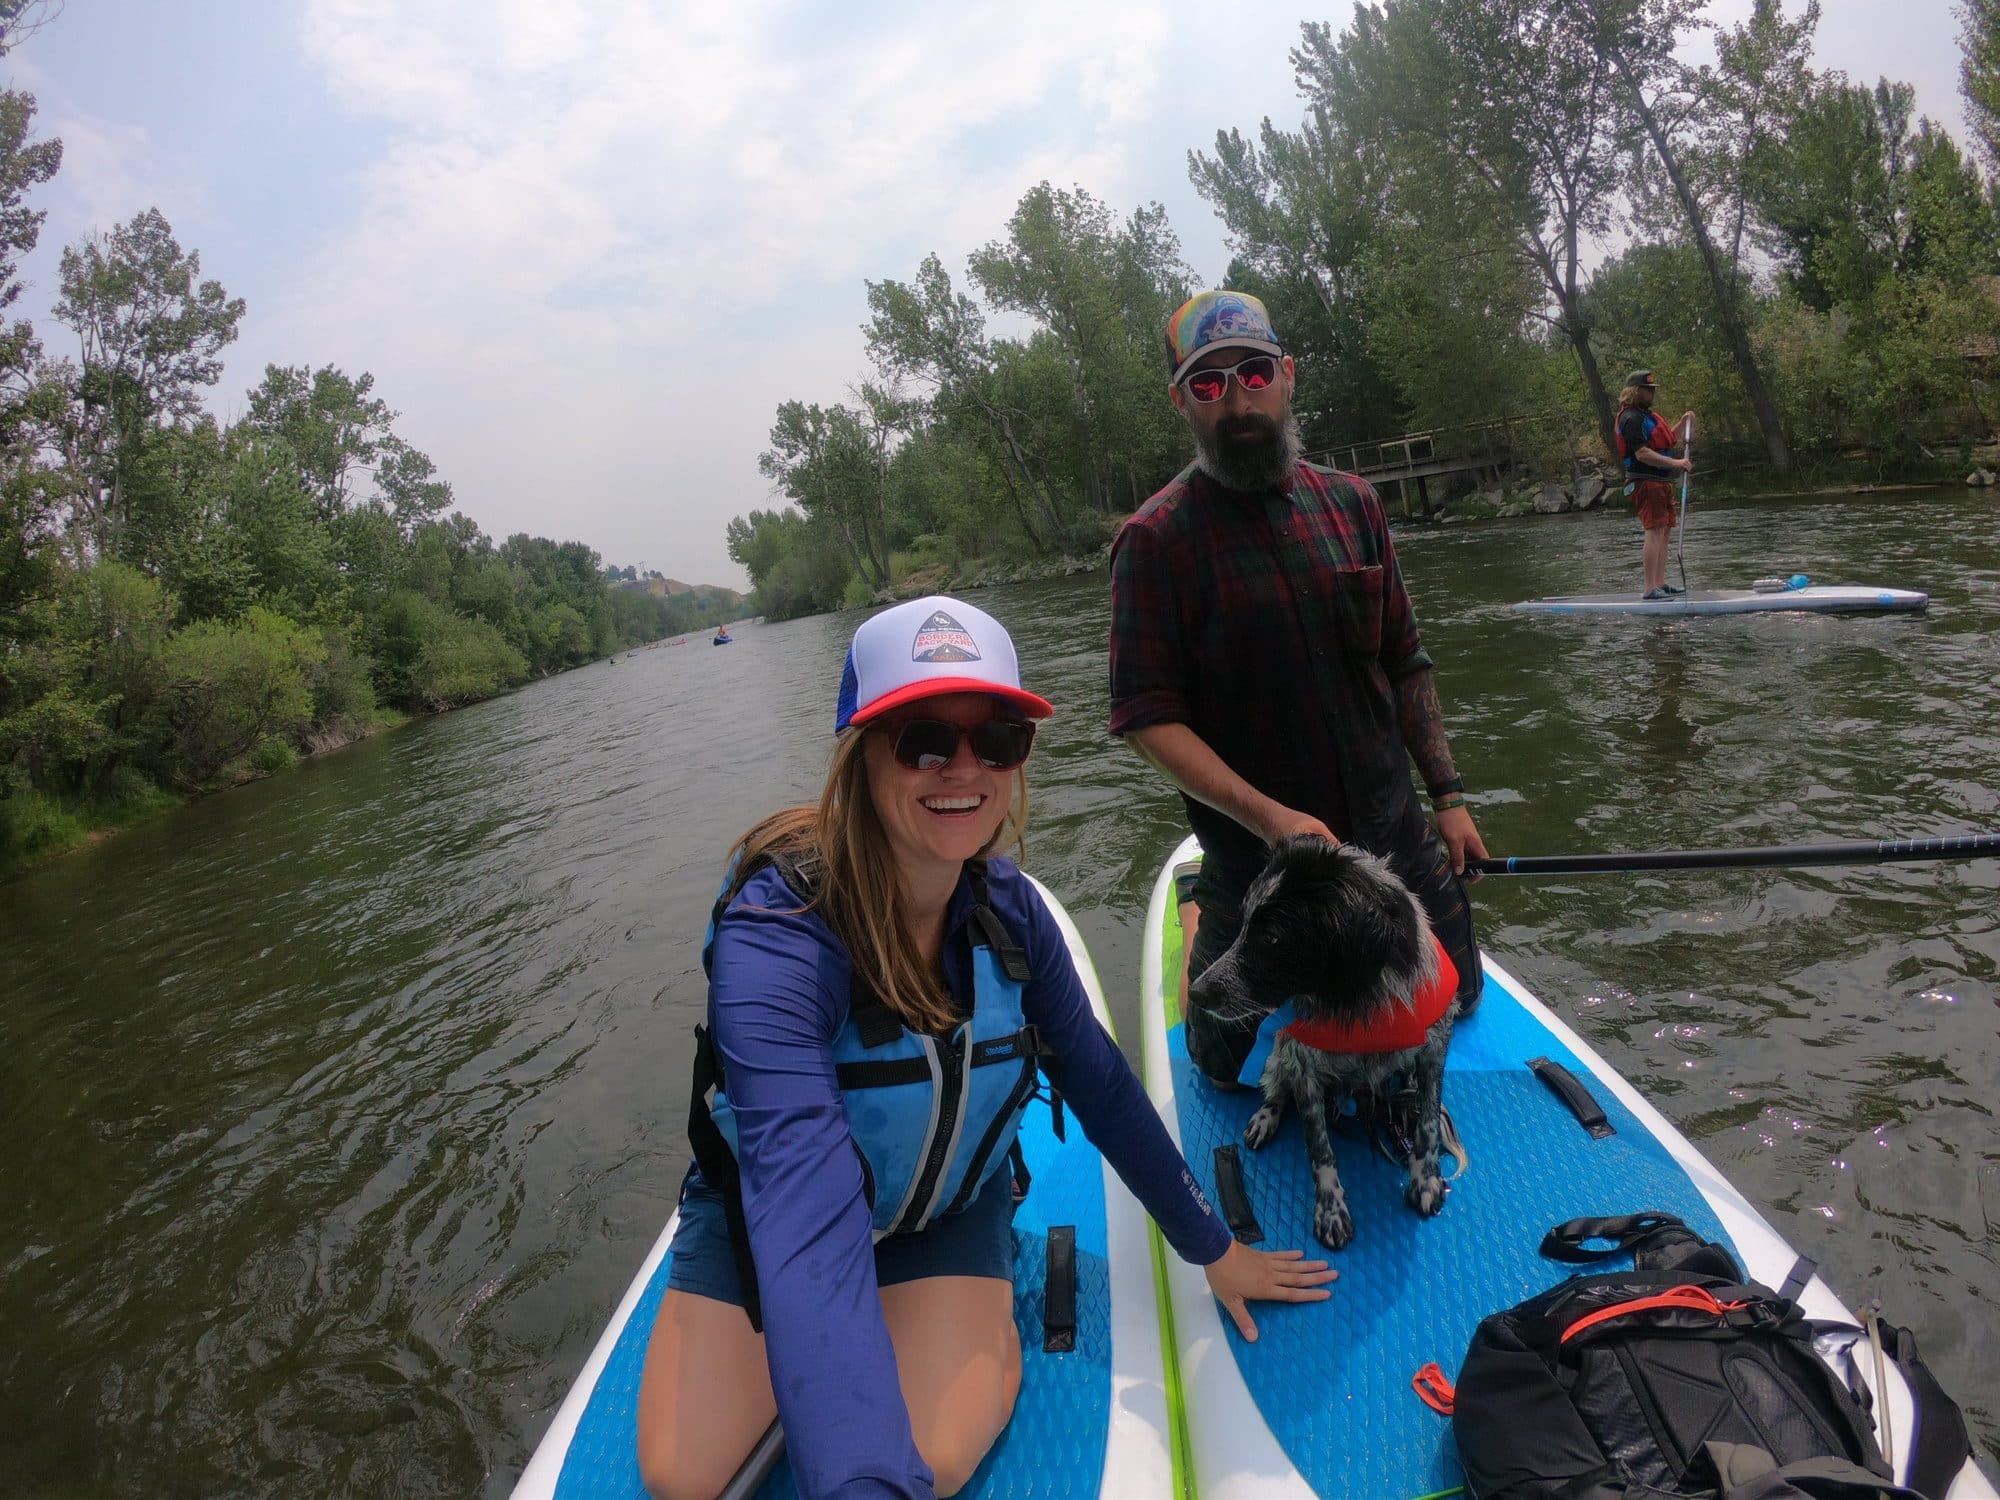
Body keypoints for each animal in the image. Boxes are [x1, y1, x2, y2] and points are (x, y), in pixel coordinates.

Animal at [1176, 840, 1464, 1248]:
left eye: (1272, 937)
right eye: (1243, 922)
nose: (1197, 993)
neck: (1357, 1001)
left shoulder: (1433, 1049)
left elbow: (1426, 1121)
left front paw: (1426, 1181)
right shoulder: (1303, 1063)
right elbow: (1319, 1147)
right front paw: (1331, 1210)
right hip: (1277, 1051)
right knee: (1276, 1089)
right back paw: (1265, 1118)